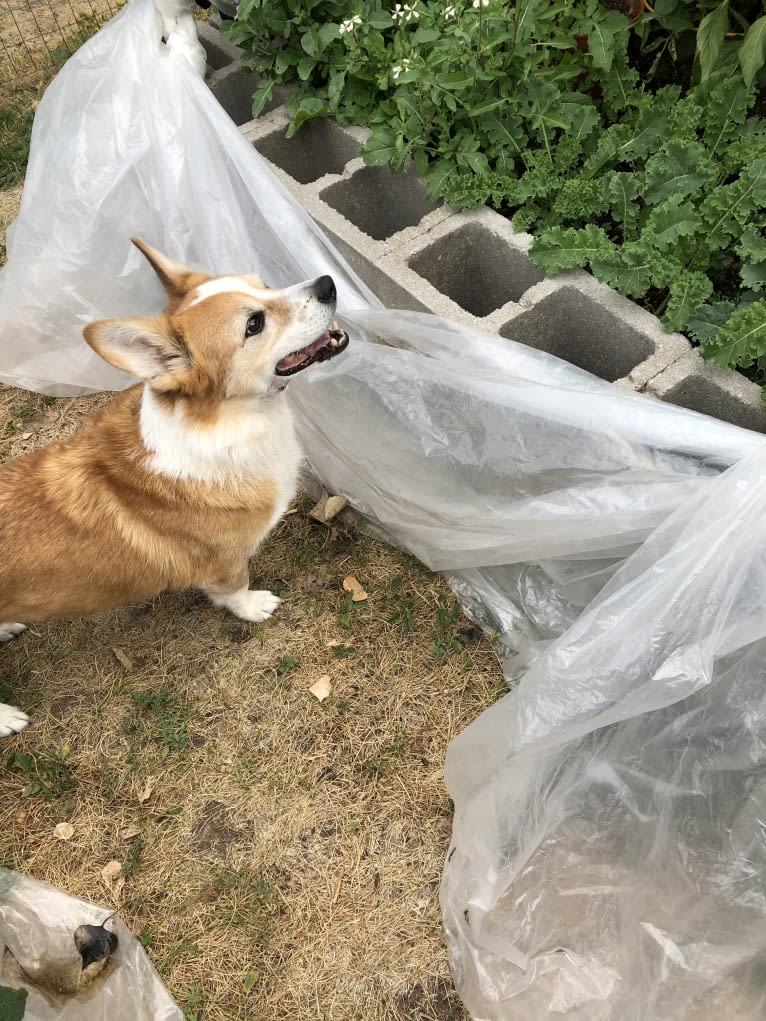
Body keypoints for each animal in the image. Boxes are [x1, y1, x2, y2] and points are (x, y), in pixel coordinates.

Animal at [0, 236, 347, 735]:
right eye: (254, 324)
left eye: (263, 284)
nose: (327, 283)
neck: (224, 422)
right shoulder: (224, 562)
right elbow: (235, 590)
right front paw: (255, 607)